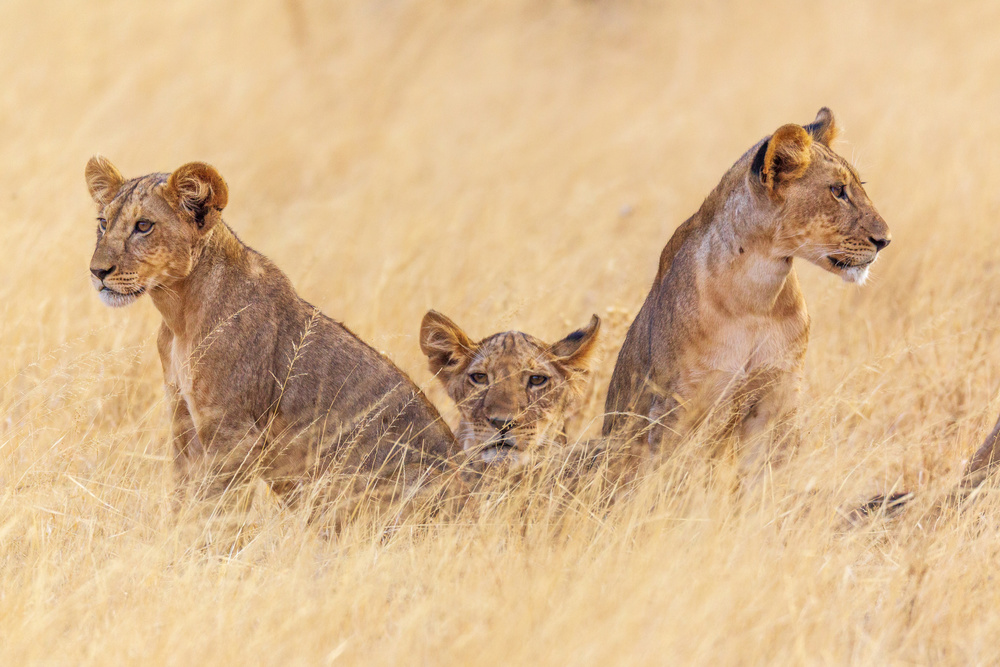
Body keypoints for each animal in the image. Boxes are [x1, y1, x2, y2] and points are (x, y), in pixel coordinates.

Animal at [86, 158, 458, 516]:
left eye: (143, 226)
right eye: (103, 223)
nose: (97, 272)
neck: (178, 315)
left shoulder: (235, 435)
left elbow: (216, 512)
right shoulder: (183, 423)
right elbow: (182, 500)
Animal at [600, 107, 892, 478]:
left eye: (858, 186)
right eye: (838, 190)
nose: (885, 240)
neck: (757, 295)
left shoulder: (779, 396)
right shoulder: (676, 405)